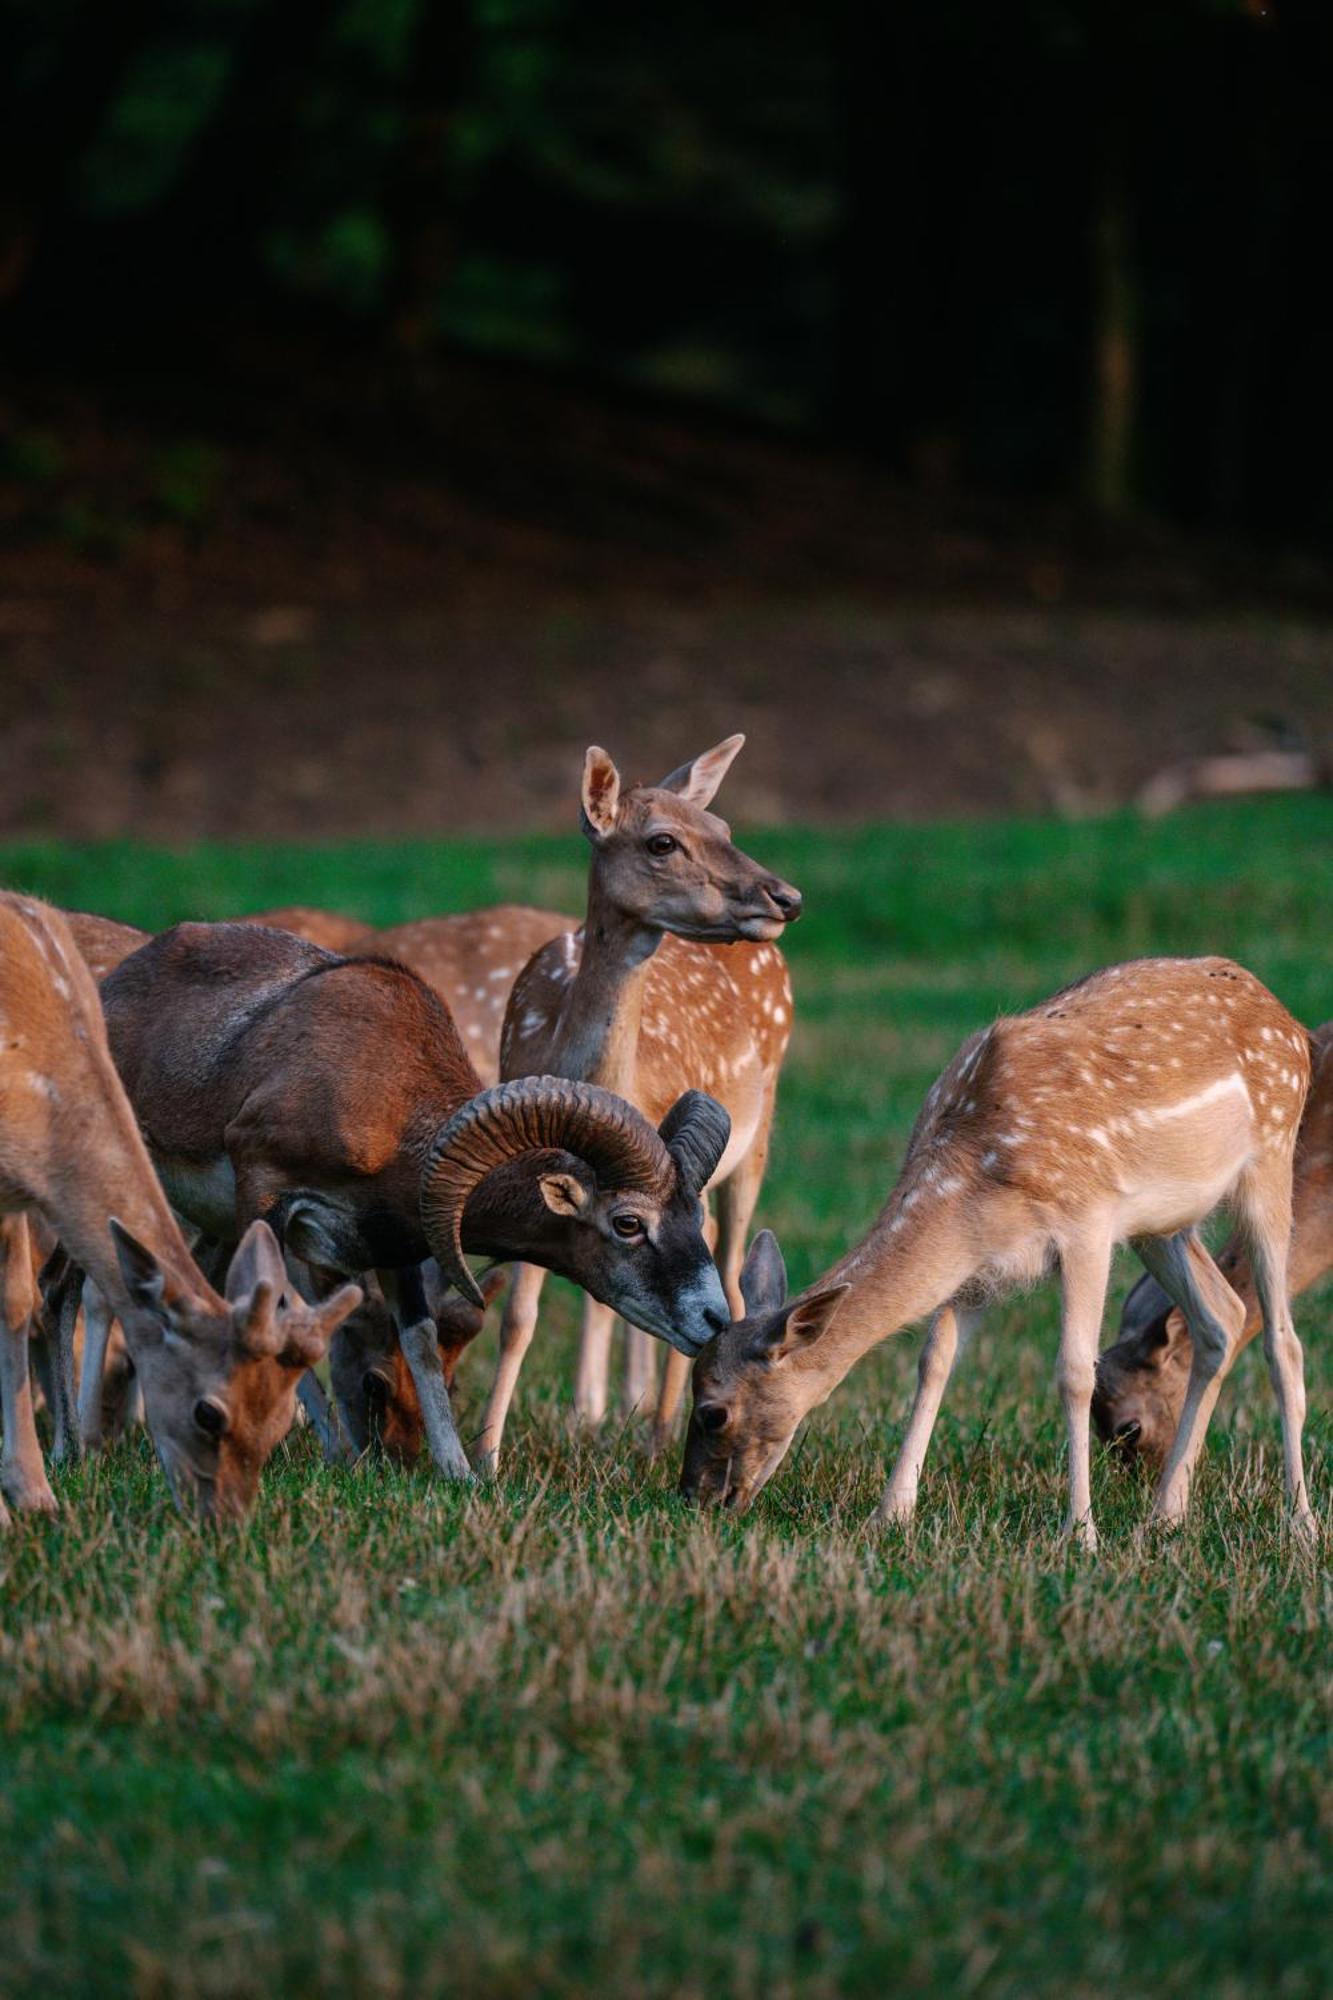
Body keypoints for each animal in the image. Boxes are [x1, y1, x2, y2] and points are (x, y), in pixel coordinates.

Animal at [98, 924, 732, 1488]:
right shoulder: (263, 1200)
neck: (382, 1105)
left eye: (696, 1218)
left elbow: (418, 1347)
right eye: (628, 1223)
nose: (715, 1320)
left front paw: (458, 1475)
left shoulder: (393, 1247)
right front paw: (342, 1456)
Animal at [486, 736, 800, 1472]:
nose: (786, 896)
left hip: (758, 1132)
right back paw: (608, 1416)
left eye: (723, 828)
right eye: (662, 842)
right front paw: (484, 1454)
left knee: (729, 1266)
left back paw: (655, 1431)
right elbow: (519, 1316)